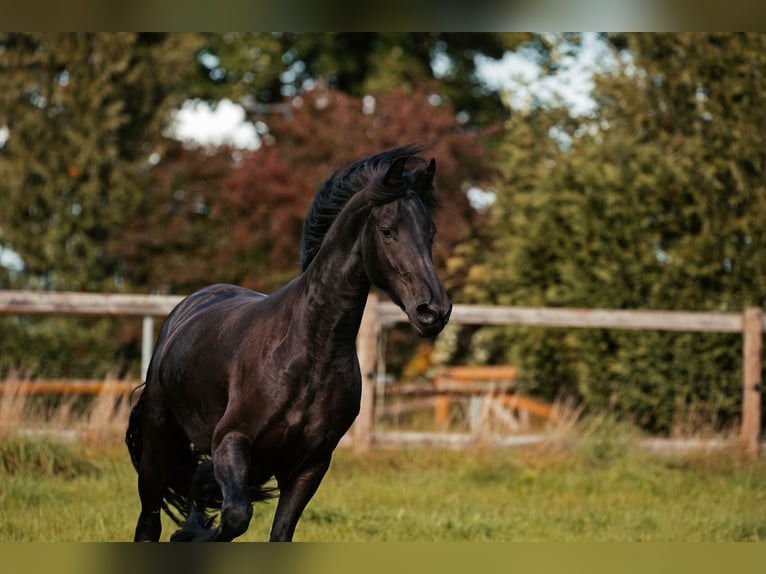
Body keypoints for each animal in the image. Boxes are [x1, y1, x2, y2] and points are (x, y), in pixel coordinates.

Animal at [125, 145, 452, 541]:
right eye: (388, 231)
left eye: (431, 233)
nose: (433, 311)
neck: (308, 356)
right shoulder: (232, 440)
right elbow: (236, 516)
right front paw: (194, 535)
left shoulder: (310, 464)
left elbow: (275, 531)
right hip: (158, 444)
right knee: (150, 518)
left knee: (197, 483)